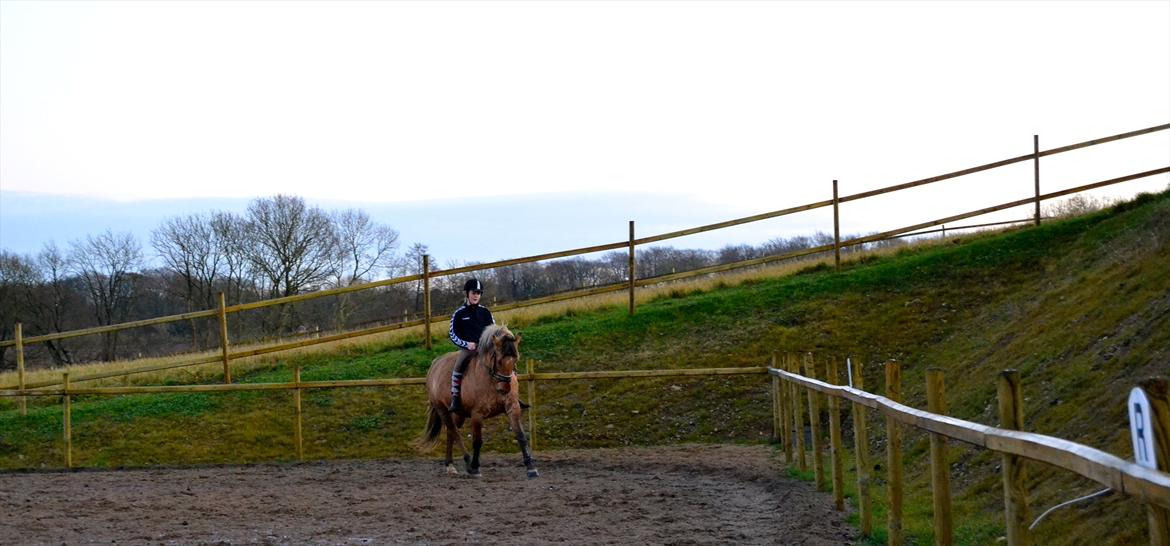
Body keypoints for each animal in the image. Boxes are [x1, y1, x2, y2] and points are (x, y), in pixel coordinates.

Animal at [414, 325, 535, 479]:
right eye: (499, 361)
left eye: (515, 360)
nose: (505, 388)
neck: (492, 379)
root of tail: (434, 365)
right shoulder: (477, 414)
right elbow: (477, 441)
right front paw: (476, 468)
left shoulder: (513, 408)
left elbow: (521, 435)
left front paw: (531, 468)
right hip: (443, 410)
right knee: (455, 433)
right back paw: (468, 463)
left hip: (458, 414)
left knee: (451, 433)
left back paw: (450, 465)